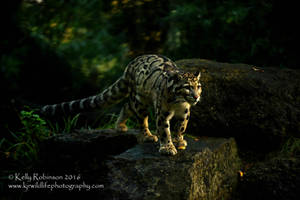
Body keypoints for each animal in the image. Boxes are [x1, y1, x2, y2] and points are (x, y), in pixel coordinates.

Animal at [41, 54, 202, 155]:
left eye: (198, 86)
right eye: (187, 87)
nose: (196, 96)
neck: (179, 103)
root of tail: (130, 65)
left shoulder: (185, 112)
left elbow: (181, 127)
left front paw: (179, 141)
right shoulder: (162, 113)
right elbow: (164, 130)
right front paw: (168, 147)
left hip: (137, 101)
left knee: (126, 106)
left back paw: (120, 126)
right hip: (140, 100)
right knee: (141, 119)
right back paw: (147, 136)